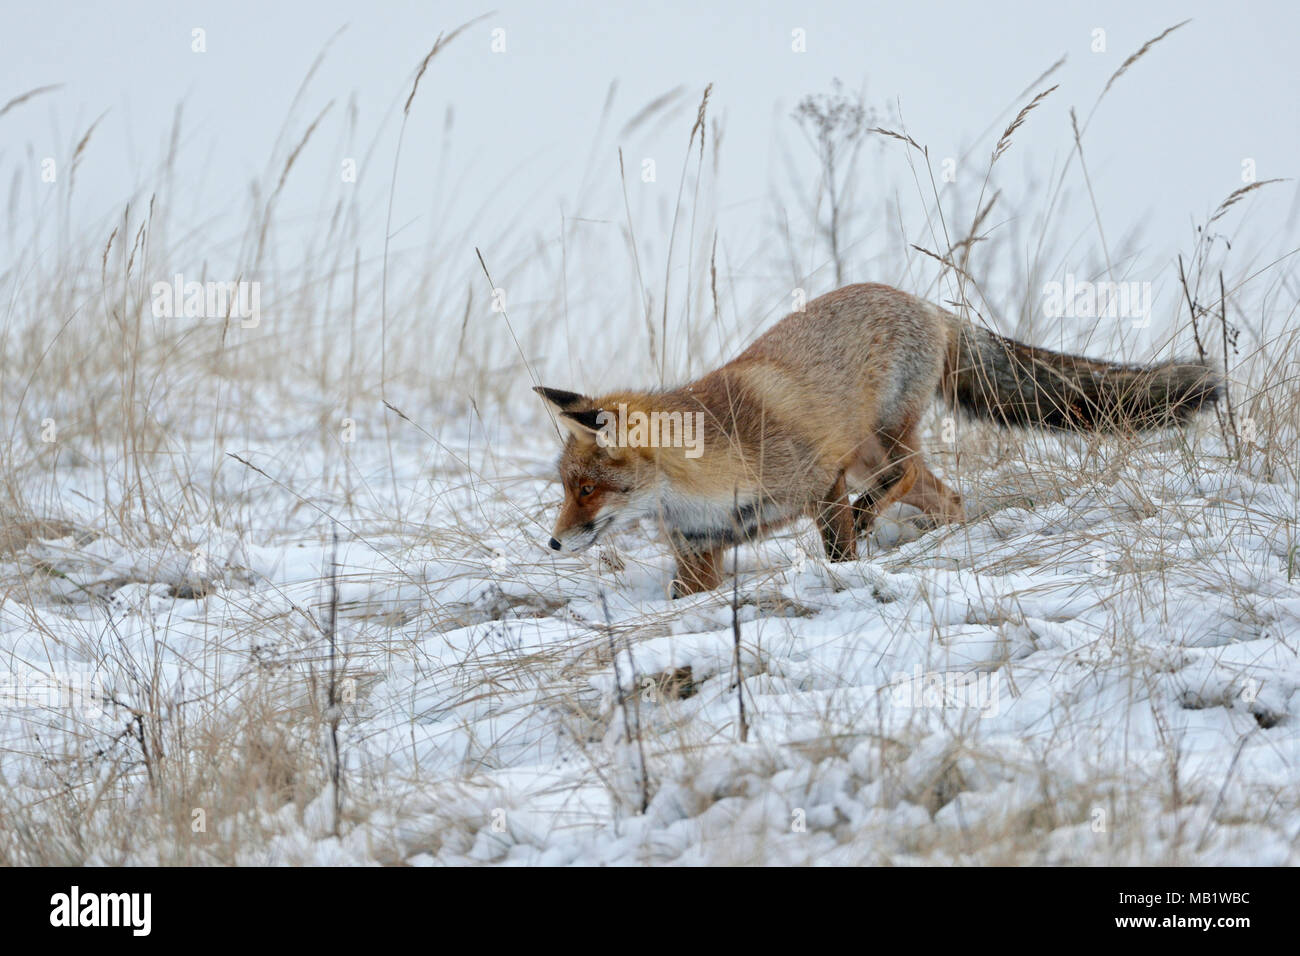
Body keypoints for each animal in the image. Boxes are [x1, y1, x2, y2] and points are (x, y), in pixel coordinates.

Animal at [533, 283, 1222, 598]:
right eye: (566, 488)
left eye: (589, 489)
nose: (554, 542)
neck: (697, 483)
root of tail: (925, 302)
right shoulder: (700, 549)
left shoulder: (820, 482)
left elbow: (839, 550)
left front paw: (847, 578)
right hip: (870, 456)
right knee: (949, 496)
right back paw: (941, 538)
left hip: (878, 442)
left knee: (910, 475)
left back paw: (884, 523)